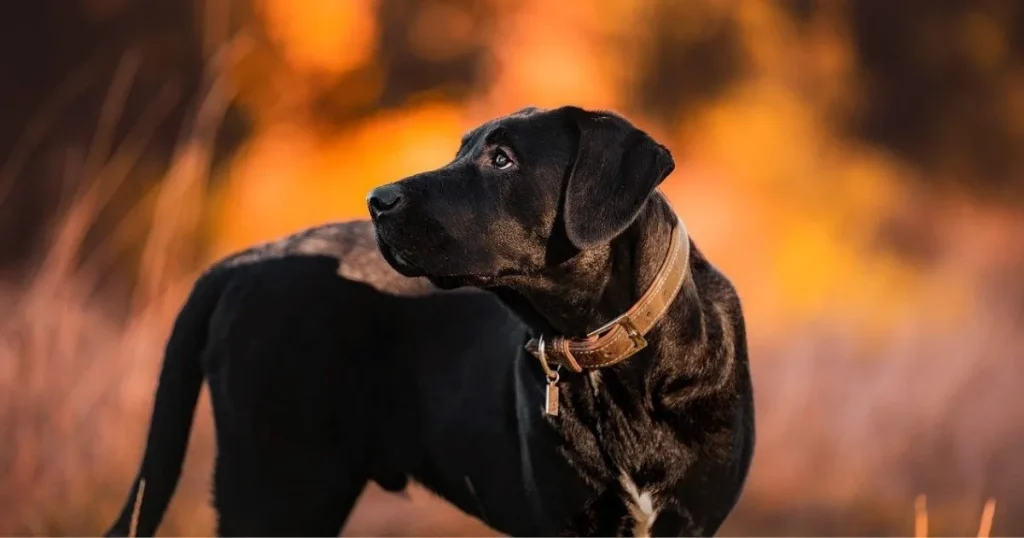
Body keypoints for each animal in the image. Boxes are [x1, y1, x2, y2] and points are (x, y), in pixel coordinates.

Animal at [108, 106, 757, 536]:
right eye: (462, 150)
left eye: (502, 158)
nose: (378, 199)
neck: (614, 359)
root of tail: (243, 260)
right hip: (277, 482)